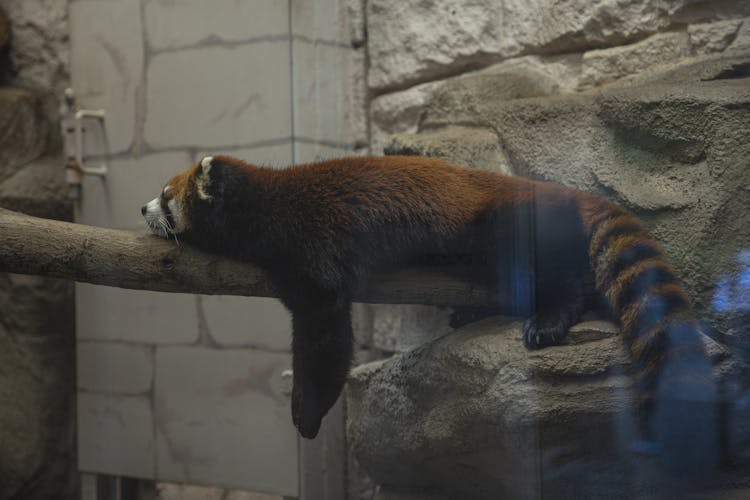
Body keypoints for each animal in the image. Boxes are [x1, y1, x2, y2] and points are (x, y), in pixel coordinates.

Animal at [142, 154, 716, 444]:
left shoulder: (315, 252)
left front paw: (307, 411)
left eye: (166, 197)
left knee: (555, 274)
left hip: (504, 225)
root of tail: (559, 190)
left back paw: (551, 317)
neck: (265, 204)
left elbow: (326, 341)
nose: (142, 207)